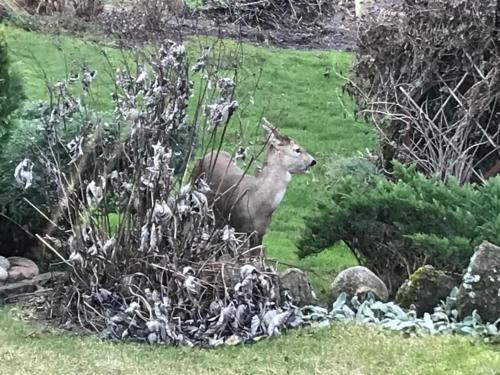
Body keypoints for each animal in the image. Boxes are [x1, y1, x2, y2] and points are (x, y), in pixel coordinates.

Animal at [191, 120, 316, 248]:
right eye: (297, 149)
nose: (313, 161)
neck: (256, 200)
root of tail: (209, 153)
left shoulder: (259, 233)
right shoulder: (238, 227)